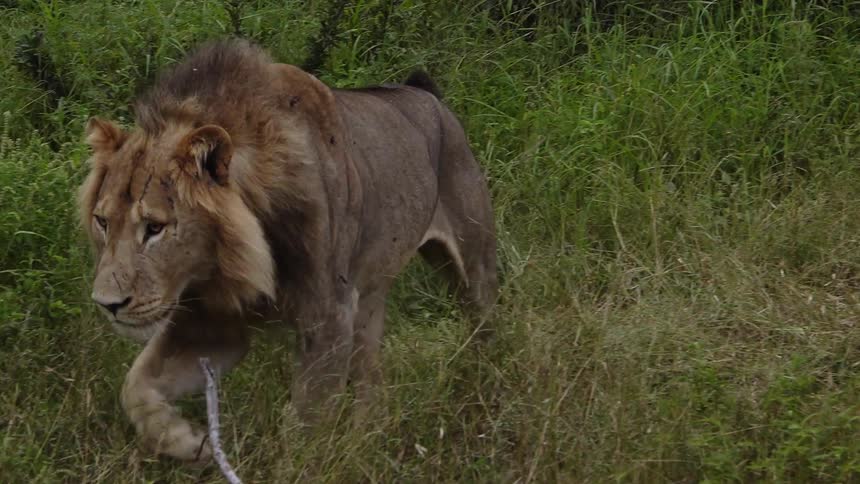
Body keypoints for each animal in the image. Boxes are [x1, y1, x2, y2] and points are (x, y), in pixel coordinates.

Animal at [78, 39, 498, 462]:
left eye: (155, 228)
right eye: (102, 221)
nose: (106, 304)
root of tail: (426, 93)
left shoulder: (329, 318)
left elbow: (306, 430)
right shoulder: (213, 324)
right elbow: (135, 387)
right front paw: (189, 441)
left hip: (471, 265)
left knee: (484, 326)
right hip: (368, 301)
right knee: (373, 384)